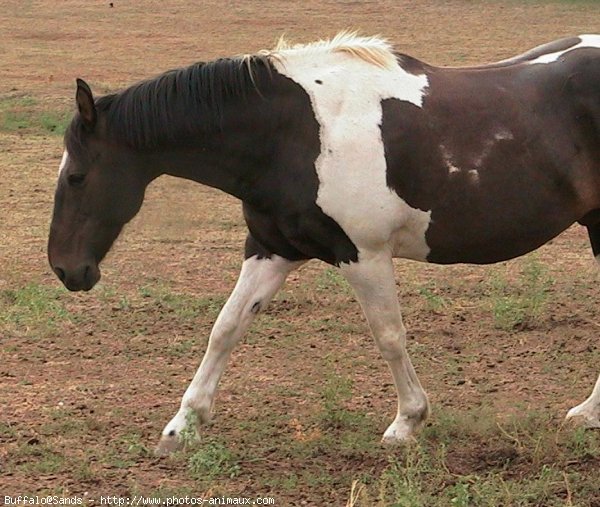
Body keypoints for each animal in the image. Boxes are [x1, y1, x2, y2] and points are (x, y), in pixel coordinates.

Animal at [48, 34, 600, 456]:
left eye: (76, 177)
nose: (65, 269)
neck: (295, 133)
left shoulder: (363, 255)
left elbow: (389, 336)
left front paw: (407, 423)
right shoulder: (271, 249)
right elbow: (225, 329)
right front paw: (182, 427)